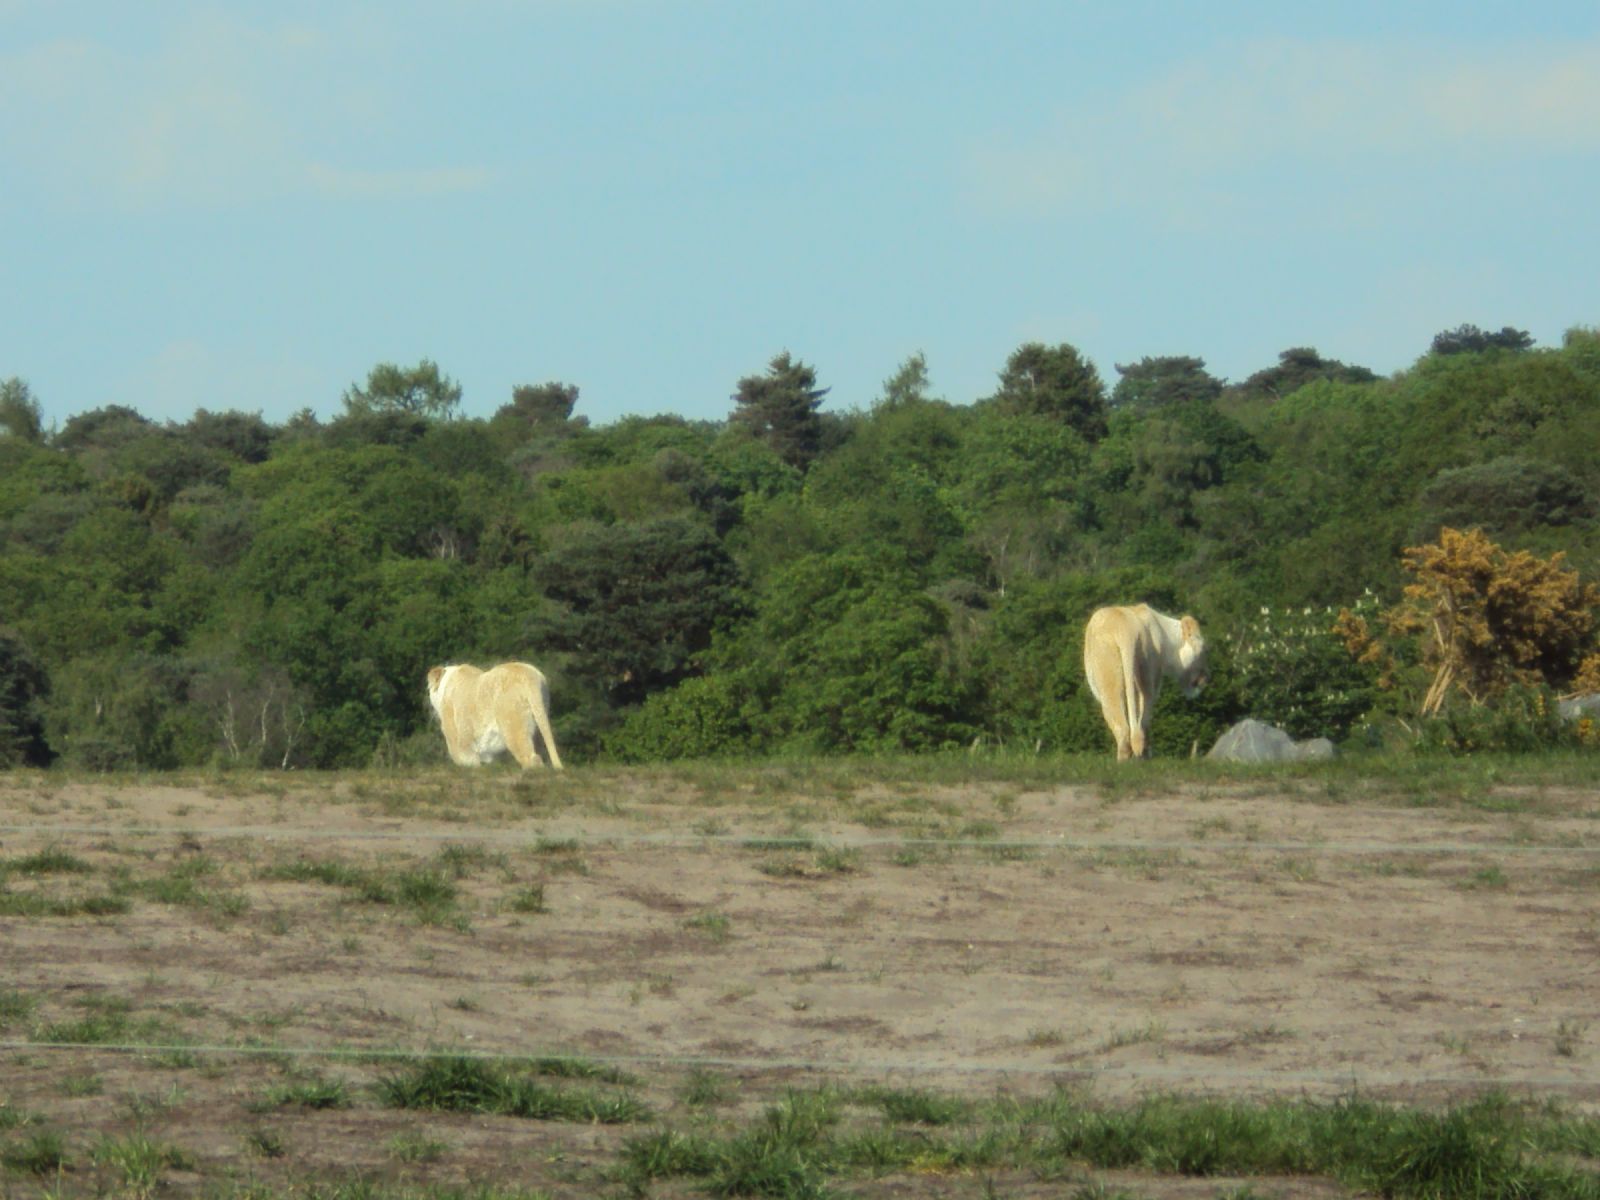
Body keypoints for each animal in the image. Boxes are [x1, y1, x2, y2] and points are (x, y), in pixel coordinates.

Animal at [428, 662, 566, 774]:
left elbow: (462, 753)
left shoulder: (456, 727)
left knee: (529, 755)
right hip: (540, 713)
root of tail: (531, 679)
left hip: (512, 719)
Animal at [1081, 604, 1203, 764]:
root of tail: (1126, 630)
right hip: (1145, 666)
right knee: (1142, 718)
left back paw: (1124, 760)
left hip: (1108, 670)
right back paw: (1142, 757)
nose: (1205, 678)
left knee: (1121, 722)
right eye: (1203, 652)